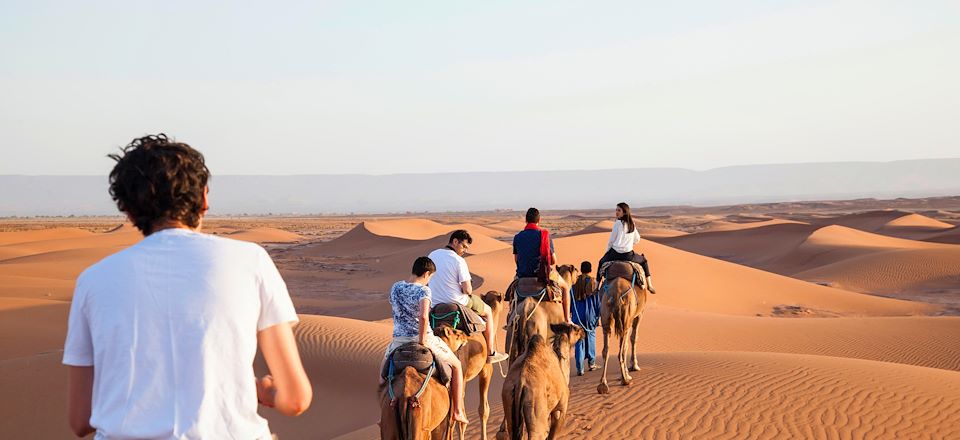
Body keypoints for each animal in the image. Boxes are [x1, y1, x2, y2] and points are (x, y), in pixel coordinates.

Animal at [596, 262, 648, 396]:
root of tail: (617, 293)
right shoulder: (639, 314)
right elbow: (633, 339)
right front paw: (634, 367)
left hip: (605, 315)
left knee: (606, 349)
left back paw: (603, 385)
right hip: (626, 318)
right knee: (621, 350)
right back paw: (625, 380)